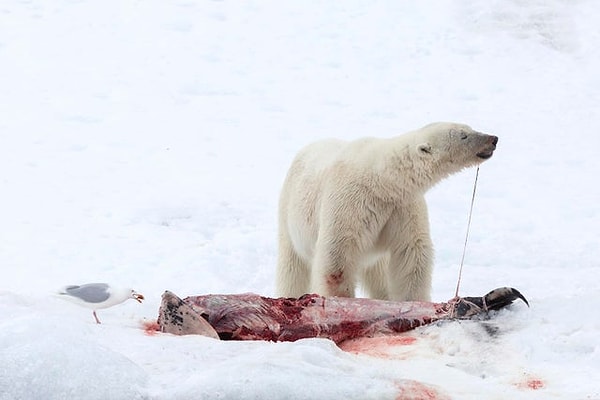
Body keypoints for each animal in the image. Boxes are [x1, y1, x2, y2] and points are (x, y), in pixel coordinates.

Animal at [276, 121, 496, 300]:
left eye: (469, 127)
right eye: (463, 135)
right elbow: (337, 256)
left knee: (378, 274)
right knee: (292, 267)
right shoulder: (349, 202)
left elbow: (411, 252)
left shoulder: (402, 206)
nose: (493, 139)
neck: (382, 180)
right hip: (290, 210)